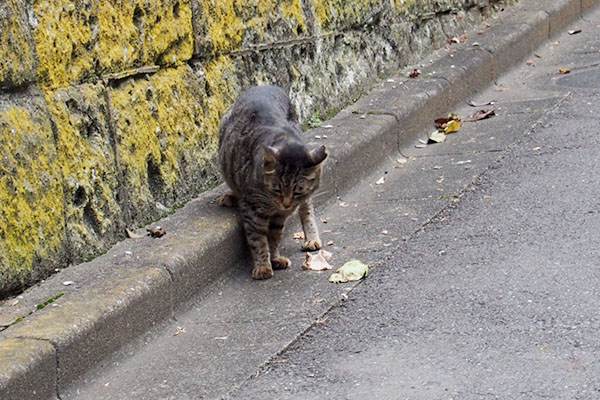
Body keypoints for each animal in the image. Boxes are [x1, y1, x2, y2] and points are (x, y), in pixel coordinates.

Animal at [217, 86, 326, 280]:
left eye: (298, 191)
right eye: (277, 189)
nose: (287, 204)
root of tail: (263, 86)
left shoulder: (280, 216)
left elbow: (274, 237)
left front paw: (274, 258)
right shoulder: (252, 210)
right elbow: (259, 240)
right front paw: (263, 266)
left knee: (306, 210)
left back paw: (311, 238)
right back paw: (231, 196)